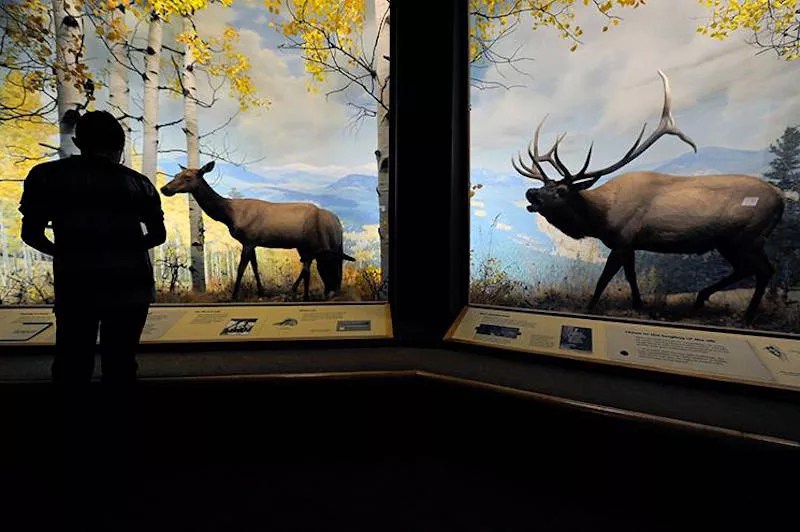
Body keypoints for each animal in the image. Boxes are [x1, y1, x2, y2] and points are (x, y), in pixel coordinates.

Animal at [160, 161, 355, 301]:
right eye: (176, 175)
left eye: (187, 177)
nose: (164, 188)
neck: (229, 215)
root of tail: (337, 222)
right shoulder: (252, 242)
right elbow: (254, 266)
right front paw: (261, 292)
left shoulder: (248, 239)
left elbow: (241, 268)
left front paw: (233, 296)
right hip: (305, 245)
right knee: (310, 265)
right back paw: (301, 291)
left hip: (317, 243)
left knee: (322, 264)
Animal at [512, 71, 784, 325]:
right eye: (544, 184)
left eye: (561, 191)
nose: (530, 192)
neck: (599, 218)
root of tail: (780, 198)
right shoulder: (630, 244)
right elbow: (630, 276)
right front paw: (638, 305)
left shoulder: (623, 239)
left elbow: (604, 279)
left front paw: (591, 308)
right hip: (733, 241)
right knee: (757, 269)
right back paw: (703, 301)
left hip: (743, 236)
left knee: (760, 270)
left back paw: (743, 314)